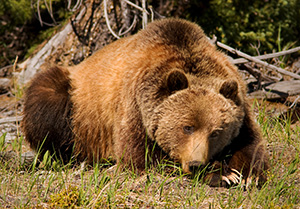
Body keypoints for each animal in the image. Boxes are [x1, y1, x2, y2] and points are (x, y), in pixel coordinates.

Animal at [21, 18, 270, 187]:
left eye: (216, 132)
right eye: (187, 127)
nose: (195, 163)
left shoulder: (240, 108)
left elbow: (251, 145)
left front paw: (243, 174)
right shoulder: (134, 109)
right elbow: (142, 159)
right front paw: (223, 174)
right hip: (76, 102)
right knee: (46, 99)